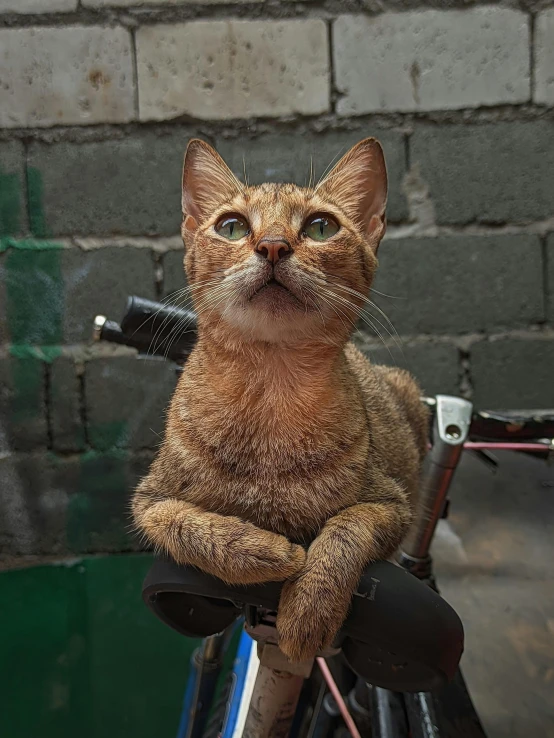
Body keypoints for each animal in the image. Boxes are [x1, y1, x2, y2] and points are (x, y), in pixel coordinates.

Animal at [134, 138, 426, 660]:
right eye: (231, 226)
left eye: (321, 226)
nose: (273, 245)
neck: (271, 392)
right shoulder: (150, 502)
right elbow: (188, 528)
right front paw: (264, 550)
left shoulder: (393, 505)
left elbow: (346, 528)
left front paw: (311, 606)